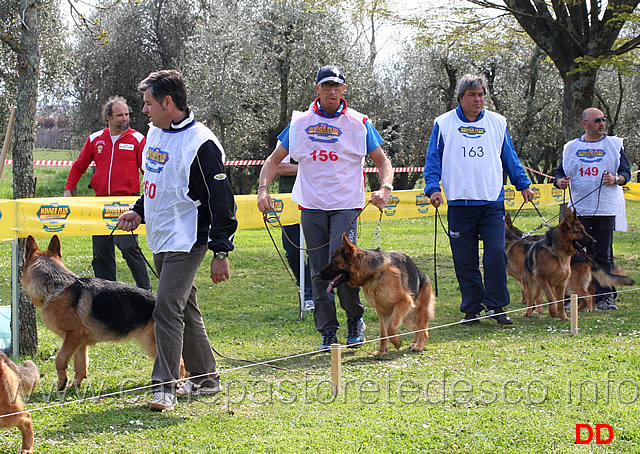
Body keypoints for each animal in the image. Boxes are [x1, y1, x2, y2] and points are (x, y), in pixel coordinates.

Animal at [23, 234, 158, 390]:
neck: (56, 287)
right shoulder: (79, 342)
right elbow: (80, 365)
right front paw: (75, 385)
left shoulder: (72, 336)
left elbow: (60, 360)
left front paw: (61, 383)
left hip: (151, 343)